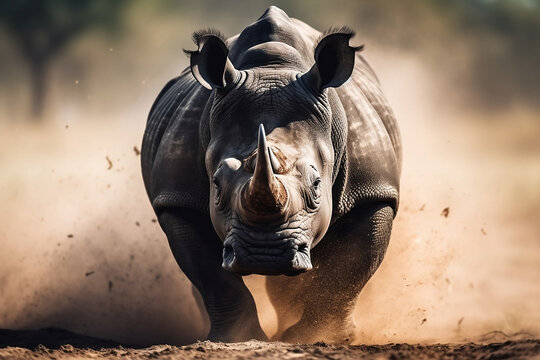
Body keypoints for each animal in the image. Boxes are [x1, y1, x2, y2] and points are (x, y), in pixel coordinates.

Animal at [140, 5, 400, 344]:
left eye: (317, 185)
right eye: (216, 185)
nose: (264, 254)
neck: (272, 70)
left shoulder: (373, 192)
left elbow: (347, 272)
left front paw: (313, 336)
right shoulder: (178, 199)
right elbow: (211, 275)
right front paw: (238, 337)